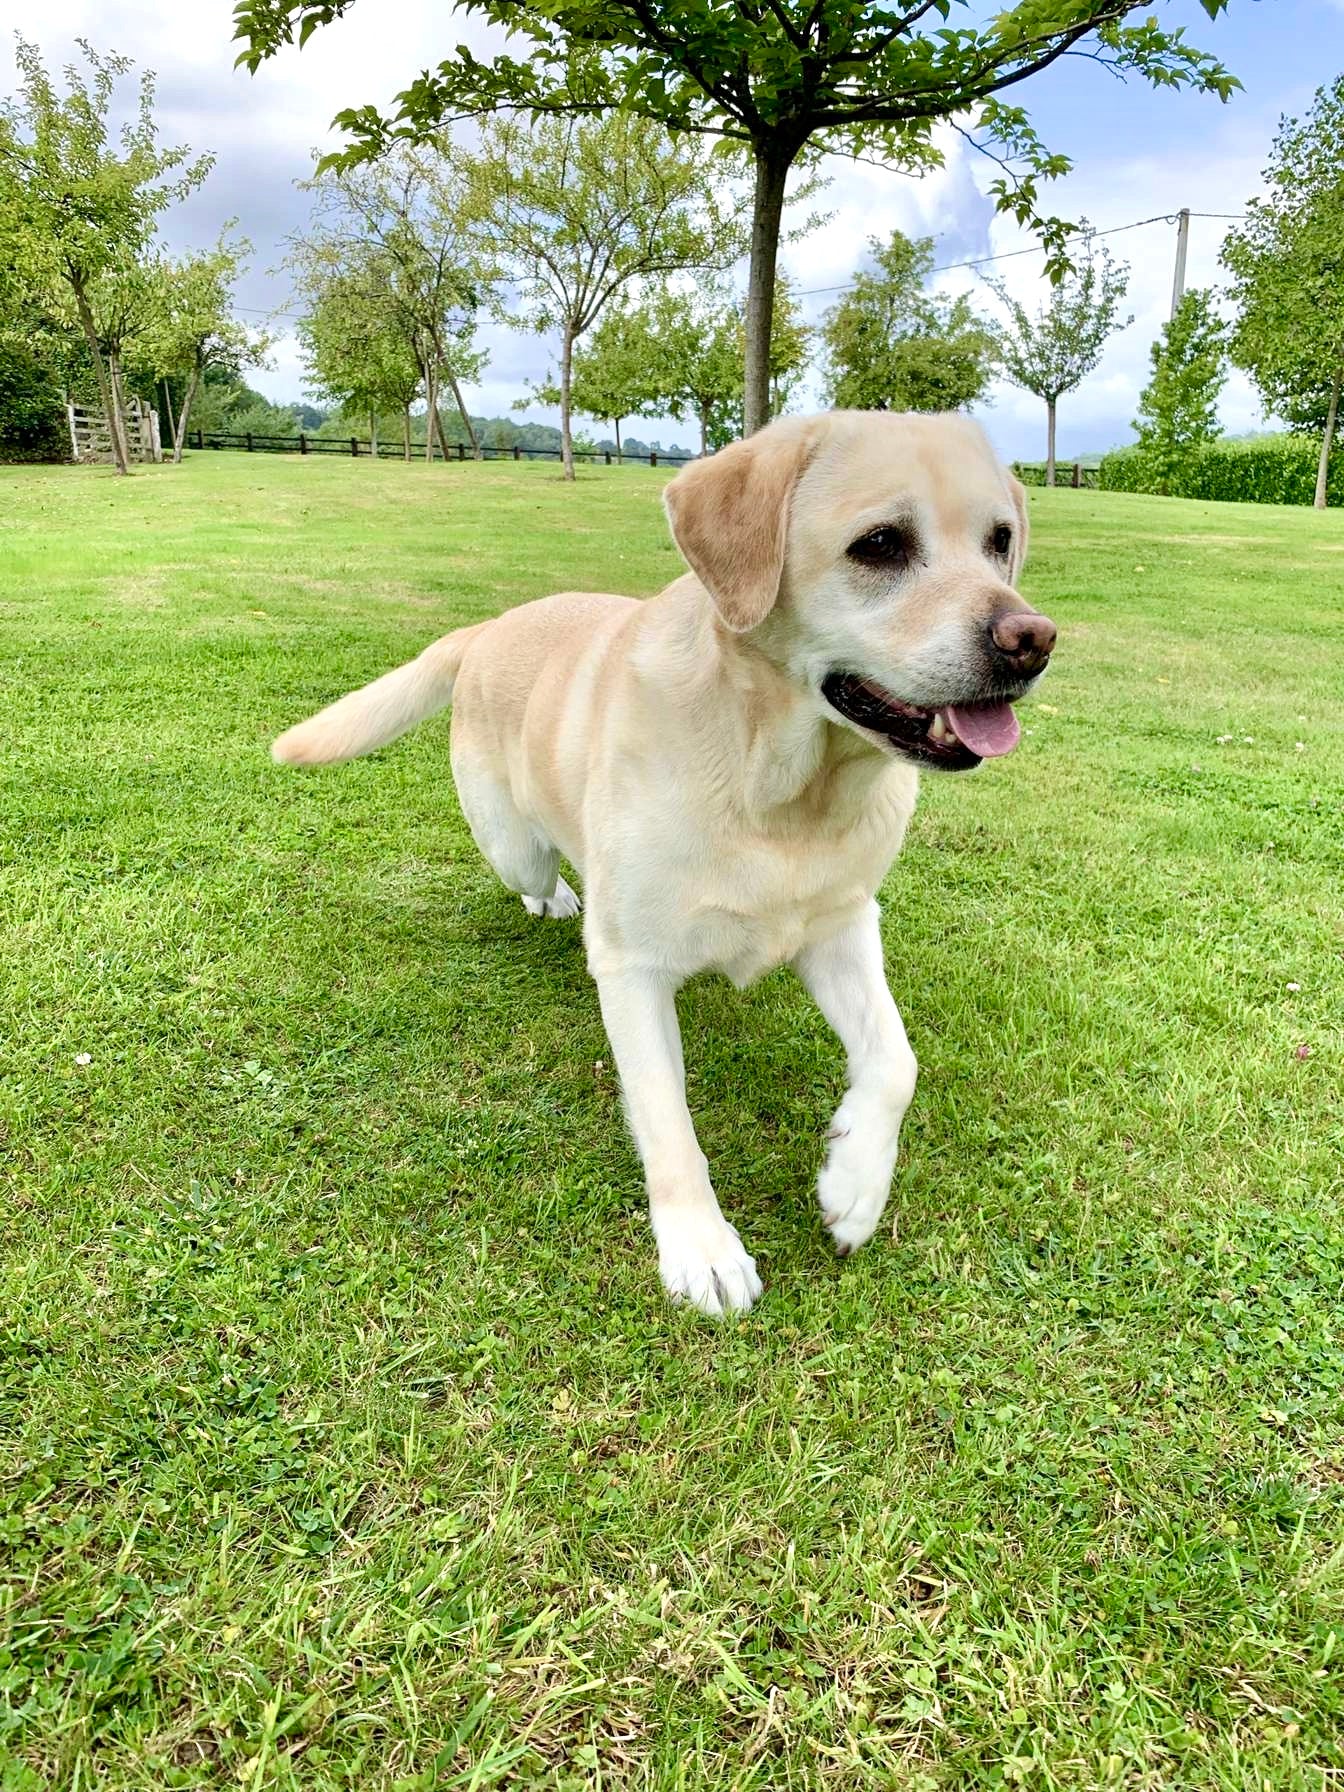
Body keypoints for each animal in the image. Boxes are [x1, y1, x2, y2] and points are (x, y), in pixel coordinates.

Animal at [270, 415, 1053, 1318]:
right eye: (881, 544)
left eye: (1000, 541)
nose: (1032, 642)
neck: (781, 790)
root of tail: (487, 627)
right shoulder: (633, 967)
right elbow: (668, 1118)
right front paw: (701, 1246)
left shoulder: (842, 924)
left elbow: (896, 1061)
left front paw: (854, 1183)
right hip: (513, 848)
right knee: (533, 871)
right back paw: (553, 898)